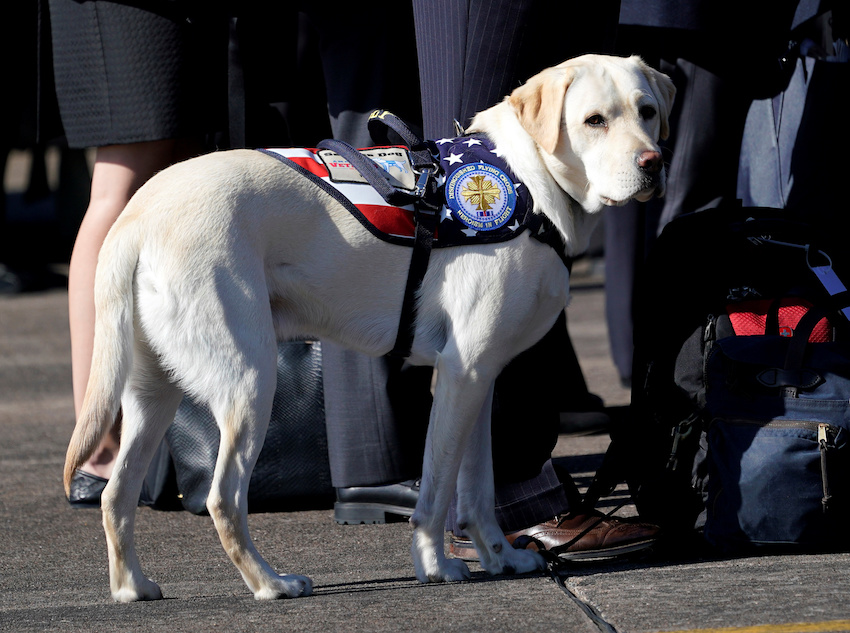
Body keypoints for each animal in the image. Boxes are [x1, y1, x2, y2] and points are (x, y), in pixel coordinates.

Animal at [63, 53, 672, 596]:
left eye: (647, 111)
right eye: (594, 120)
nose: (653, 164)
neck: (528, 181)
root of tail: (137, 215)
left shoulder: (480, 378)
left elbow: (477, 490)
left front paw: (500, 558)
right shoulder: (461, 373)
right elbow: (437, 492)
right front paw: (436, 566)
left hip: (152, 394)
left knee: (116, 496)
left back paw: (133, 588)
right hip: (249, 382)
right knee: (223, 498)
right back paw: (270, 583)